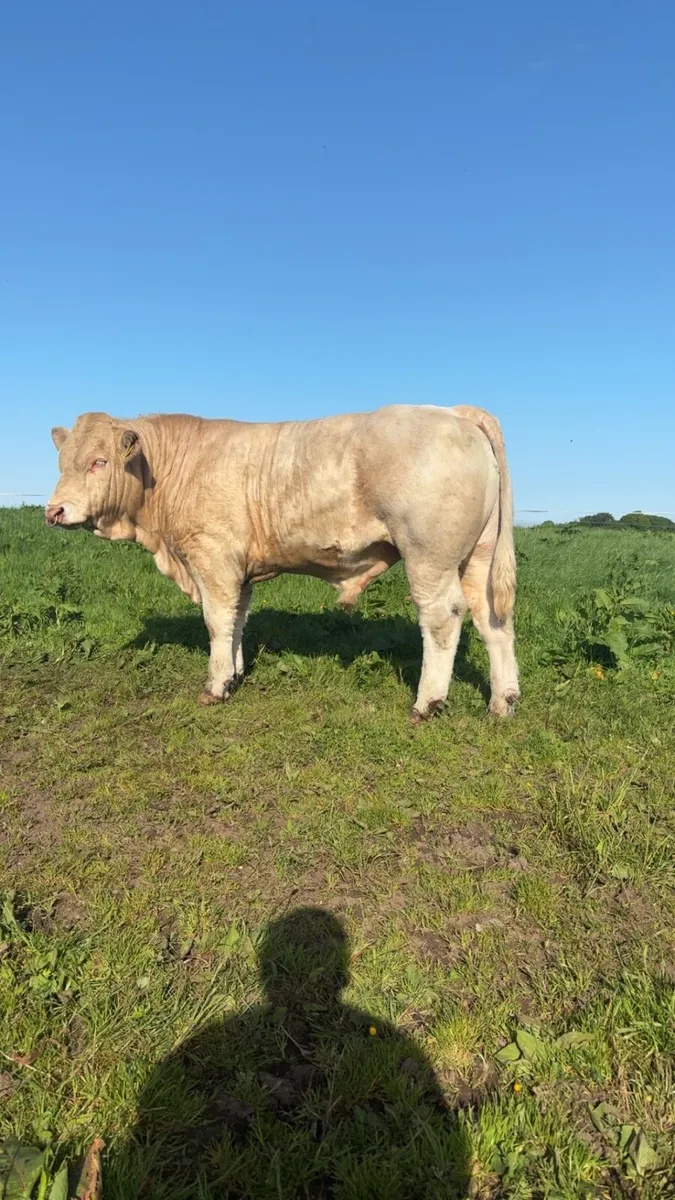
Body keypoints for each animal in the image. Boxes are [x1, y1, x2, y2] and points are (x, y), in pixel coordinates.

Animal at [46, 404, 519, 721]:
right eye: (62, 462)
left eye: (99, 461)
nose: (53, 511)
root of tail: (453, 412)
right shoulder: (238, 569)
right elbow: (237, 619)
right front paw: (234, 674)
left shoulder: (213, 558)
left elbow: (217, 621)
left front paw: (216, 685)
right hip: (478, 558)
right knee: (492, 620)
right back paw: (503, 701)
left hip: (428, 556)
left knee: (442, 618)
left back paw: (427, 703)